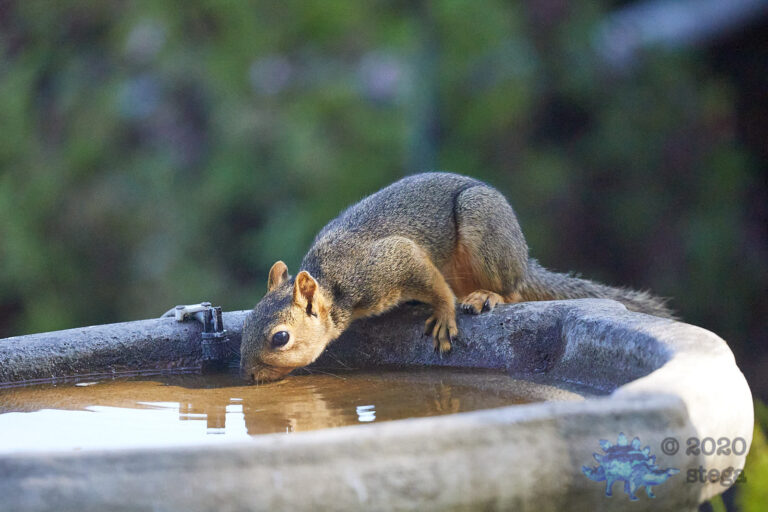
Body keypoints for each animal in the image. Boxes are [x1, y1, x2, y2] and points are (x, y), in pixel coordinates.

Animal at [240, 172, 673, 382]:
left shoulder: (390, 262)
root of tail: (524, 261)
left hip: (485, 227)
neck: (333, 283)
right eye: (244, 327)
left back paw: (487, 296)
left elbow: (431, 283)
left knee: (512, 291)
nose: (249, 375)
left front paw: (445, 316)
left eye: (280, 338)